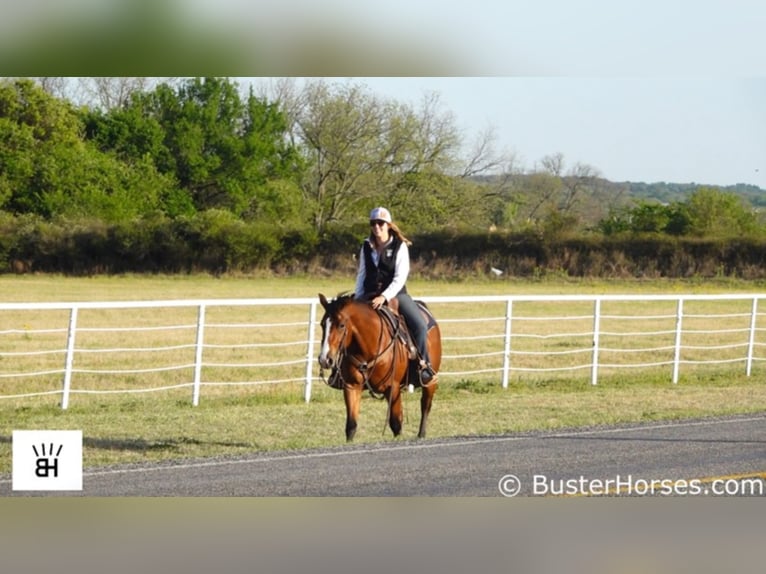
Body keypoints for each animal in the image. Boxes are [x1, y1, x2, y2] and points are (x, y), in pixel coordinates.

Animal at [318, 294, 444, 444]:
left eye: (341, 325)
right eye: (322, 324)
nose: (325, 359)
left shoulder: (392, 387)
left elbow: (396, 423)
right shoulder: (351, 386)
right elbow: (351, 425)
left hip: (430, 381)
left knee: (425, 405)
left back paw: (421, 435)